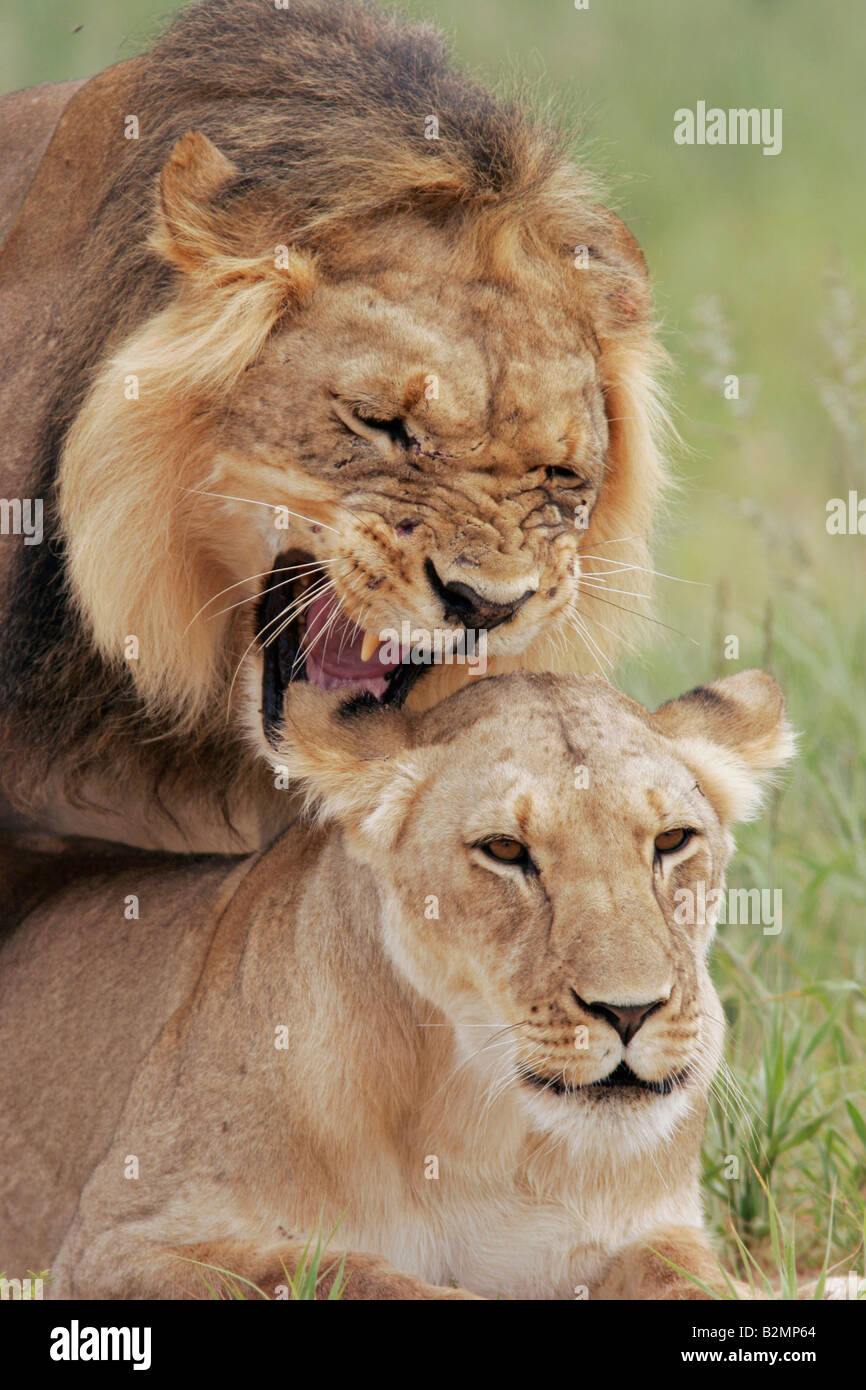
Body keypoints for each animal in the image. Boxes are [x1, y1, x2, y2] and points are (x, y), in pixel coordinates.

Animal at [0, 668, 794, 1300]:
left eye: (672, 841)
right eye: (505, 850)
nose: (630, 1012)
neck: (471, 1126)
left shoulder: (648, 1227)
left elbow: (690, 1279)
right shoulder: (115, 1245)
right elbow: (345, 1272)